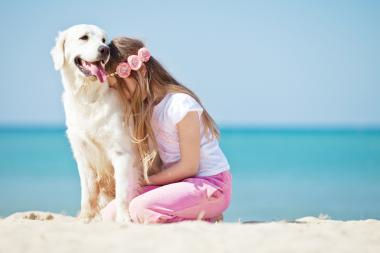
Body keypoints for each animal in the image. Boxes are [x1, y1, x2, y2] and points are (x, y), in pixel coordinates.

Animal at [50, 24, 140, 223]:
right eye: (84, 37)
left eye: (104, 40)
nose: (105, 49)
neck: (89, 98)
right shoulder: (83, 155)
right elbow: (88, 193)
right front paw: (85, 218)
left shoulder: (121, 153)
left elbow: (122, 192)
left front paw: (123, 218)